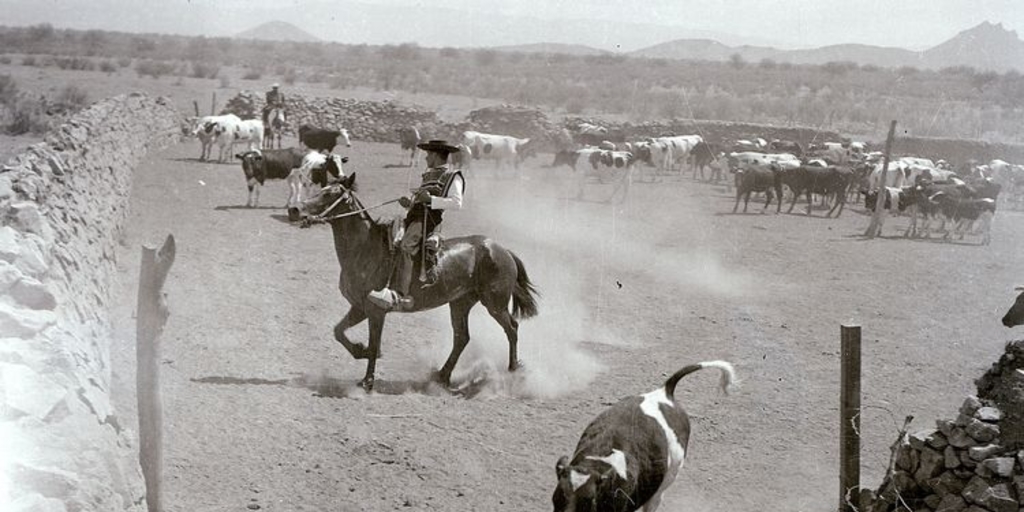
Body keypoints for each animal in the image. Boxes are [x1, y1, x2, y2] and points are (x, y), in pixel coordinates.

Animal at [292, 173, 540, 391]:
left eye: (329, 194)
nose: (294, 209)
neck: (366, 250)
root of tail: (501, 249)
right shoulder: (359, 307)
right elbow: (339, 331)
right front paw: (360, 350)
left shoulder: (375, 310)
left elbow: (373, 342)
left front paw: (368, 381)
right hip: (460, 303)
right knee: (462, 337)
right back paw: (442, 375)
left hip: (495, 304)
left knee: (512, 328)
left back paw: (513, 370)